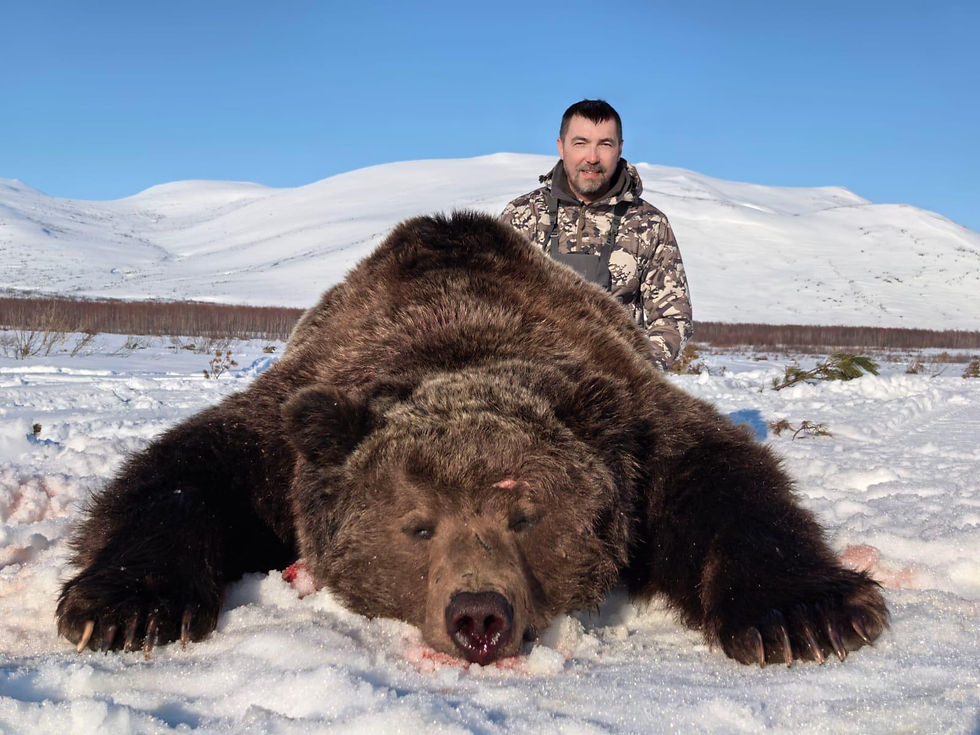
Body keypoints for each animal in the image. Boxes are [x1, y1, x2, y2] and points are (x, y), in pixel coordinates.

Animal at [57, 211, 888, 667]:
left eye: (530, 516)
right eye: (415, 524)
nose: (479, 615)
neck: (456, 338)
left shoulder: (633, 419)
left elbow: (722, 475)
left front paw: (804, 614)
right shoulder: (290, 423)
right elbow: (184, 468)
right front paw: (127, 605)